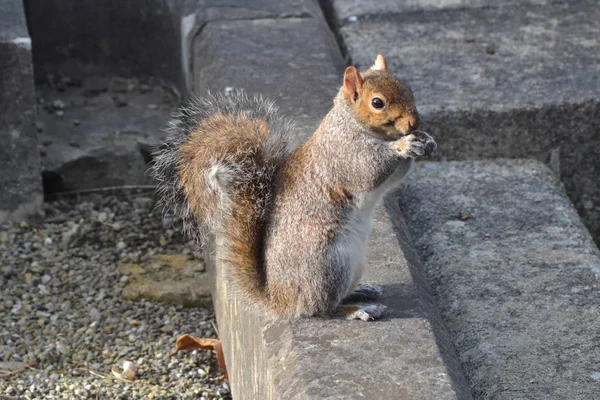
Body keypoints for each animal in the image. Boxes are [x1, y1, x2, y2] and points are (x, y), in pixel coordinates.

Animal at [150, 54, 436, 320]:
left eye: (408, 88)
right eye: (377, 103)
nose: (414, 123)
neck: (350, 123)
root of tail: (279, 299)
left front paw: (426, 141)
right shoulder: (343, 153)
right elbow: (370, 171)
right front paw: (404, 145)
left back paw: (362, 290)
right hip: (328, 266)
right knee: (321, 308)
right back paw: (356, 310)